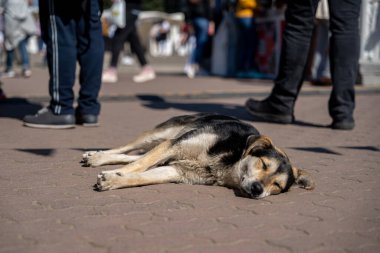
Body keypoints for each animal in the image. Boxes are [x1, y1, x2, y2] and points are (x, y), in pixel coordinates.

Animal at [82, 113, 314, 199]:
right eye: (264, 164)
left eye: (277, 186)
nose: (258, 190)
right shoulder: (174, 146)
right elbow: (139, 165)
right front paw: (115, 174)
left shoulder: (175, 169)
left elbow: (140, 176)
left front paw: (114, 180)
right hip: (161, 135)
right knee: (128, 150)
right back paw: (96, 157)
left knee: (135, 156)